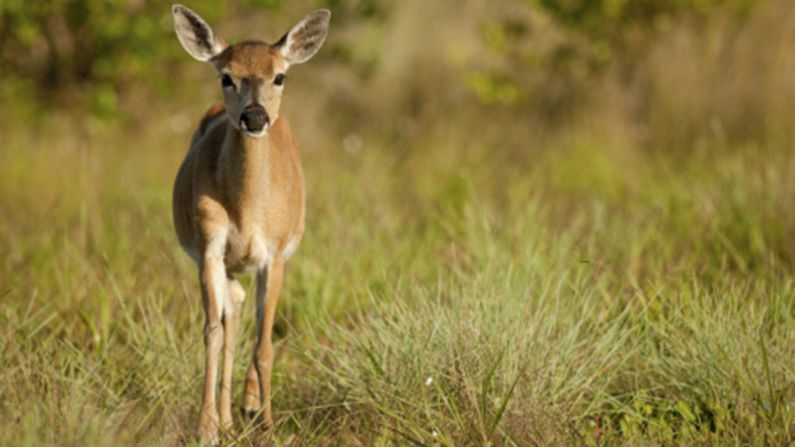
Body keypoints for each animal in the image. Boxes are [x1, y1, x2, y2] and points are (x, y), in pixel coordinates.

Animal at [169, 3, 332, 444]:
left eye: (280, 75)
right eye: (226, 75)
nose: (254, 116)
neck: (245, 212)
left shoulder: (273, 257)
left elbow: (264, 346)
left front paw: (270, 426)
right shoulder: (210, 247)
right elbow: (211, 331)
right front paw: (206, 427)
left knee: (245, 318)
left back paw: (247, 404)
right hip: (227, 264)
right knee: (231, 315)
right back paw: (227, 417)